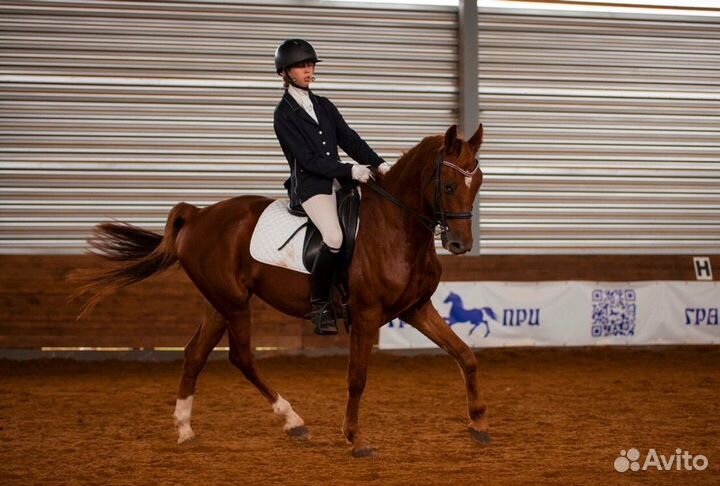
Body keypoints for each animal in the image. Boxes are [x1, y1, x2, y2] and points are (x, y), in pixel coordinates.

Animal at [76, 123, 489, 458]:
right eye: (448, 185)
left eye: (479, 182)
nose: (459, 244)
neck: (396, 228)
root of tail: (198, 215)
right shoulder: (366, 315)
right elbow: (357, 378)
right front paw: (355, 440)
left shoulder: (416, 309)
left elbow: (465, 355)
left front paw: (479, 424)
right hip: (234, 303)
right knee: (241, 357)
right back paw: (291, 419)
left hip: (217, 303)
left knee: (194, 355)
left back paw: (186, 430)